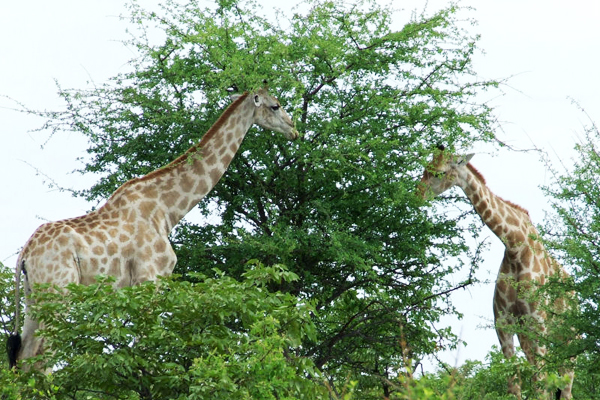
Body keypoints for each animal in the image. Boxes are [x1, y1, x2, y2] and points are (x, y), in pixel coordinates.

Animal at [8, 86, 298, 368]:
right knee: (43, 355)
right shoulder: (150, 279)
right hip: (60, 292)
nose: (294, 130)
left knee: (24, 356)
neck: (167, 209)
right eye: (276, 105)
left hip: (35, 298)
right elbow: (145, 347)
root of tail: (25, 253)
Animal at [420, 148, 576, 400]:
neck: (515, 246)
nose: (416, 194)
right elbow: (515, 385)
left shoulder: (538, 323)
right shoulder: (504, 323)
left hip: (568, 337)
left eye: (439, 172)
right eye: (426, 168)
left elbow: (541, 384)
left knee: (565, 385)